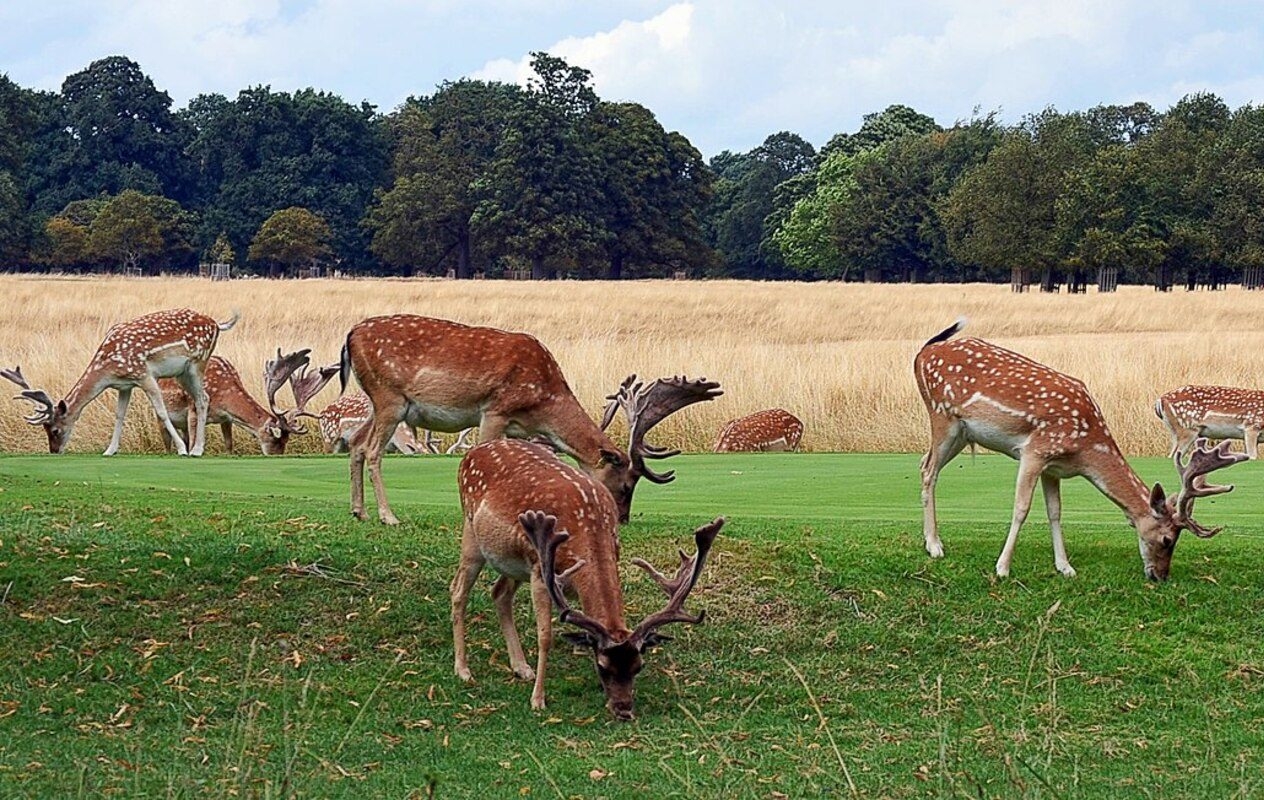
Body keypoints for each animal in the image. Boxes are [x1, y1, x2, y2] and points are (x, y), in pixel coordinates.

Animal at [3, 307, 237, 454]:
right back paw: (197, 448)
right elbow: (119, 415)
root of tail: (217, 324)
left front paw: (181, 449)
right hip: (182, 373)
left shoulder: (144, 374)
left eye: (55, 430)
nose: (53, 450)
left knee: (203, 398)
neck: (107, 368)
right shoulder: (124, 385)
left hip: (198, 363)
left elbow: (161, 412)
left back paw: (196, 450)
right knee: (202, 398)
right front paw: (109, 450)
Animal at [156, 348, 313, 454]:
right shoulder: (193, 408)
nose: (277, 455)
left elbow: (229, 445)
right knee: (167, 442)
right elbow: (193, 444)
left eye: (287, 441)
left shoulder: (226, 418)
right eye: (276, 439)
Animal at [341, 314, 723, 528]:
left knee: (357, 445)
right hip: (390, 398)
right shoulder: (495, 409)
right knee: (373, 451)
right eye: (627, 485)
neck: (544, 405)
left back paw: (359, 512)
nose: (623, 519)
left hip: (380, 402)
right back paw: (388, 516)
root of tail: (350, 336)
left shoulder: (519, 429)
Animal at [452, 437, 723, 717]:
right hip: (473, 534)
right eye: (603, 665)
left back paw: (521, 667)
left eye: (638, 666)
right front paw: (538, 699)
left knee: (499, 593)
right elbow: (545, 636)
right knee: (458, 590)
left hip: (514, 562)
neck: (589, 529)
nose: (624, 709)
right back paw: (463, 669)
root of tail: (472, 452)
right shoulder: (540, 570)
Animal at [915, 319, 1248, 581]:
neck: (1085, 449)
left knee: (923, 463)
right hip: (942, 416)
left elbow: (1055, 511)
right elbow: (1021, 508)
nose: (1161, 576)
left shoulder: (1053, 467)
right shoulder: (1035, 450)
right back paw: (934, 546)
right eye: (1167, 539)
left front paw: (1065, 567)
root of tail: (923, 353)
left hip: (961, 433)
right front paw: (1003, 568)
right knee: (929, 470)